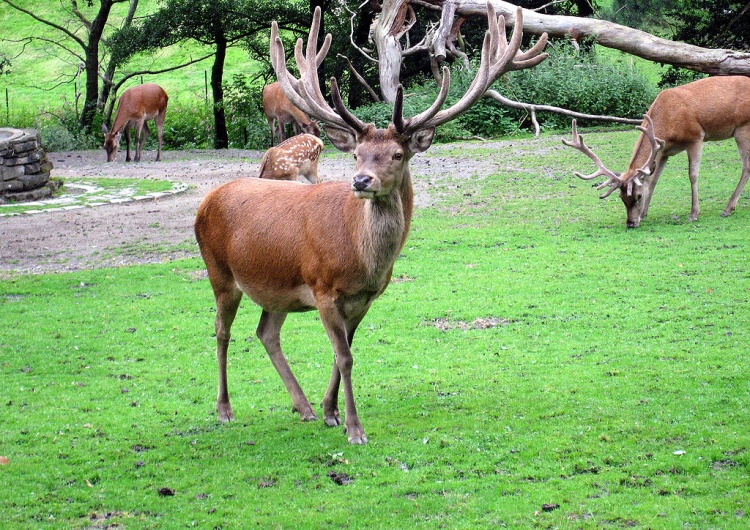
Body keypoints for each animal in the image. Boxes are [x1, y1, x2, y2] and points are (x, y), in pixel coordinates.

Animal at [194, 4, 548, 444]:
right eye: (357, 153)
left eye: (397, 154)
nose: (361, 181)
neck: (361, 260)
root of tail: (205, 203)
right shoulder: (323, 287)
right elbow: (344, 356)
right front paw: (354, 428)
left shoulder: (365, 298)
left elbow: (343, 351)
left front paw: (330, 412)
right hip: (220, 272)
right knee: (221, 330)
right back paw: (225, 409)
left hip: (276, 287)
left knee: (266, 333)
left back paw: (303, 407)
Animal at [568, 76, 750, 227]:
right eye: (621, 197)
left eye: (638, 196)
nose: (631, 223)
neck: (668, 124)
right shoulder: (664, 151)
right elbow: (653, 180)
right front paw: (644, 214)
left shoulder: (696, 137)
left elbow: (693, 175)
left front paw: (693, 213)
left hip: (742, 128)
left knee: (746, 166)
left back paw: (728, 208)